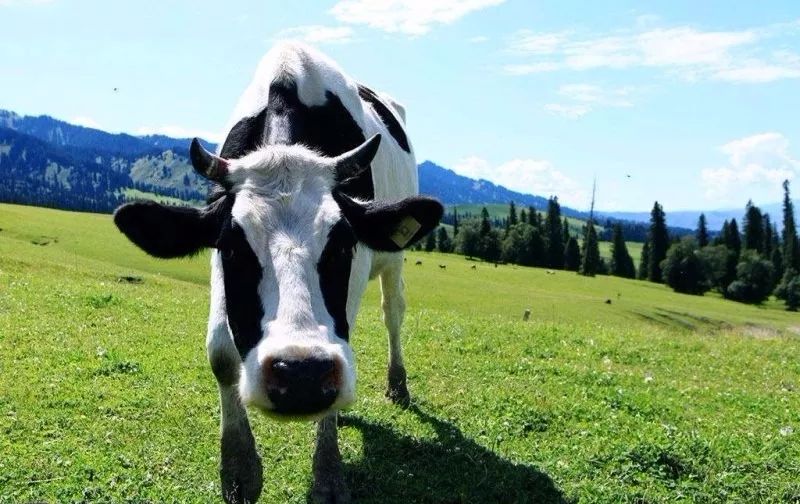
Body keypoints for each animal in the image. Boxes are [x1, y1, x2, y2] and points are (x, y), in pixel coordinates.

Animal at [112, 41, 444, 502]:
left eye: (342, 244)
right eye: (233, 248)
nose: (302, 375)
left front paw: (327, 475)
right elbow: (221, 353)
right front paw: (238, 469)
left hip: (392, 259)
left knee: (392, 312)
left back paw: (397, 383)